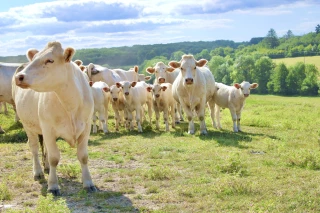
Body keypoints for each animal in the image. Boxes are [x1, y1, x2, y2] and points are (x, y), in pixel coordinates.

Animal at [12, 40, 97, 196]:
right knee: (34, 148)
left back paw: (45, 167)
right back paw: (38, 171)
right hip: (28, 126)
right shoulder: (48, 129)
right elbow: (54, 158)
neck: (70, 104)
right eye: (33, 59)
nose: (19, 77)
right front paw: (53, 185)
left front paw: (88, 183)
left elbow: (83, 156)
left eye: (50, 60)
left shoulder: (86, 127)